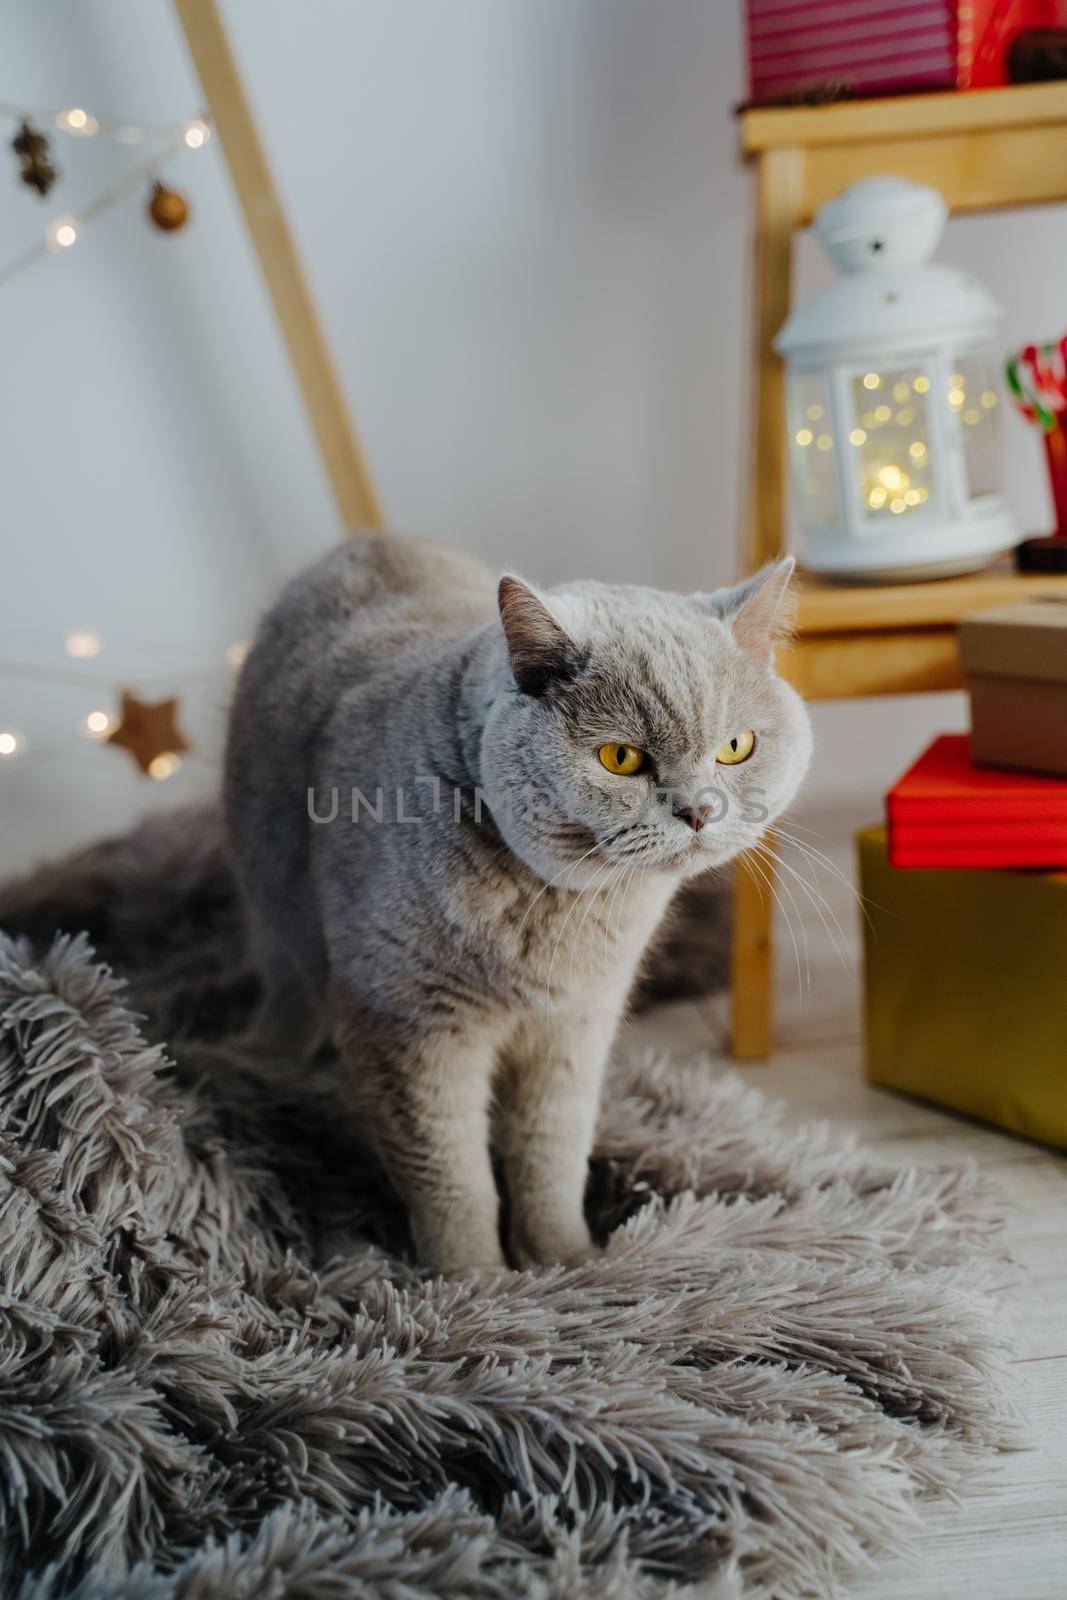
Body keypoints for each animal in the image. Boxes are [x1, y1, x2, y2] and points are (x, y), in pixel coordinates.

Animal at [225, 534, 809, 1273]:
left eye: (736, 747)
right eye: (620, 758)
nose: (699, 811)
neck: (563, 913)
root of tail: (366, 541)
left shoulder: (576, 1025)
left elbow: (550, 1150)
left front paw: (566, 1262)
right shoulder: (407, 1026)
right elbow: (451, 1176)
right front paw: (476, 1282)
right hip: (275, 910)